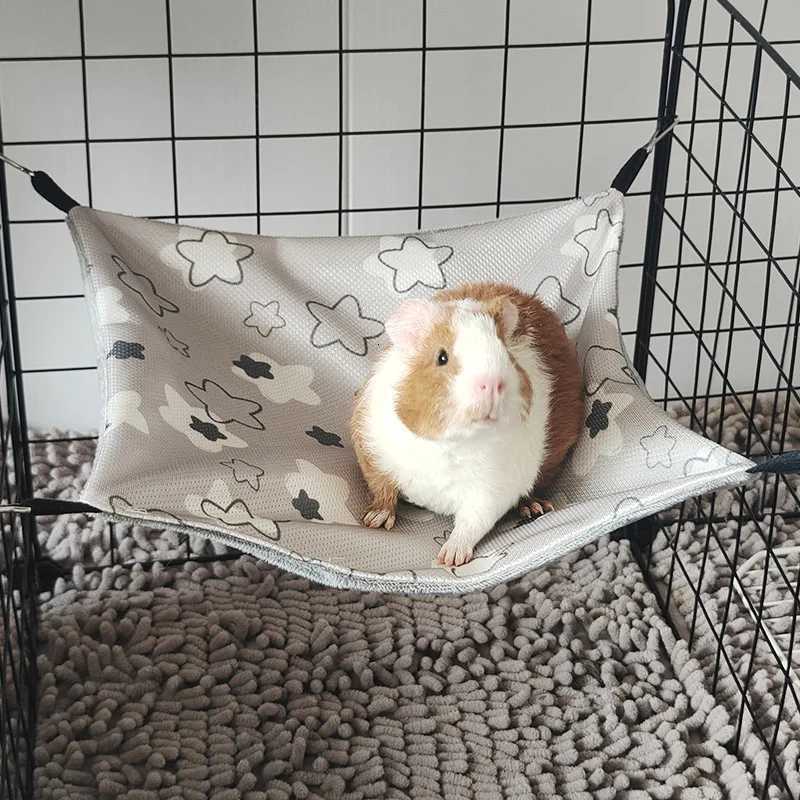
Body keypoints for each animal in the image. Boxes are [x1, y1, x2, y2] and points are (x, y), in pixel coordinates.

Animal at [350, 281, 583, 567]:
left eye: (506, 354)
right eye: (441, 357)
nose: (493, 383)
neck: (451, 443)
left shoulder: (491, 492)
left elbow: (471, 524)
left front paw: (448, 559)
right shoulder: (373, 450)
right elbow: (382, 489)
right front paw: (375, 521)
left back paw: (535, 509)